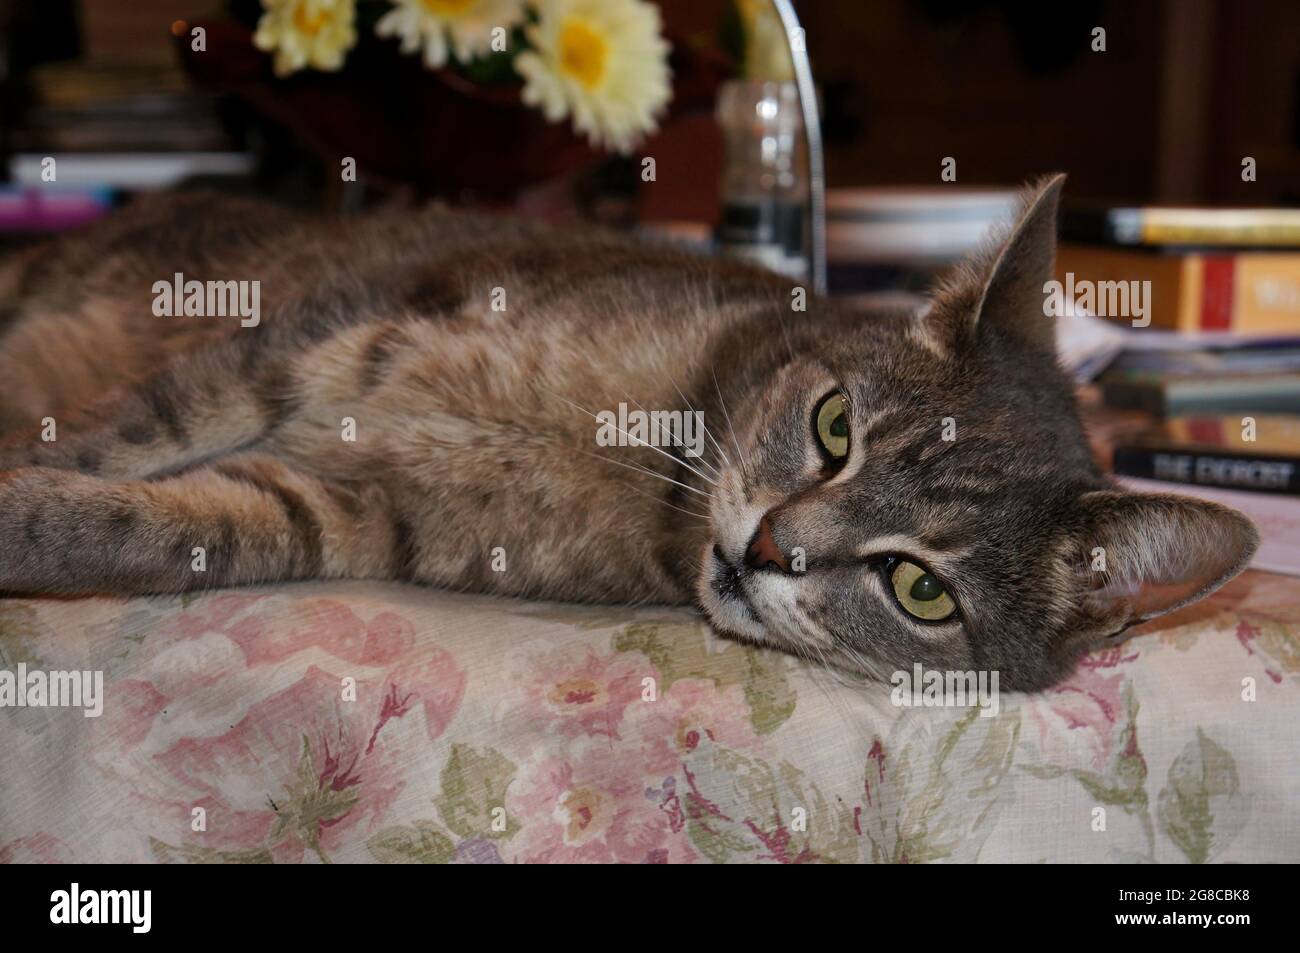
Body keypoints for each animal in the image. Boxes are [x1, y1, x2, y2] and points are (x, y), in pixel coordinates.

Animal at [0, 172, 1258, 691]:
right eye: (835, 427)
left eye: (921, 590)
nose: (769, 546)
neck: (656, 455)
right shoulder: (329, 333)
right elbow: (125, 442)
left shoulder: (345, 505)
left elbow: (160, 525)